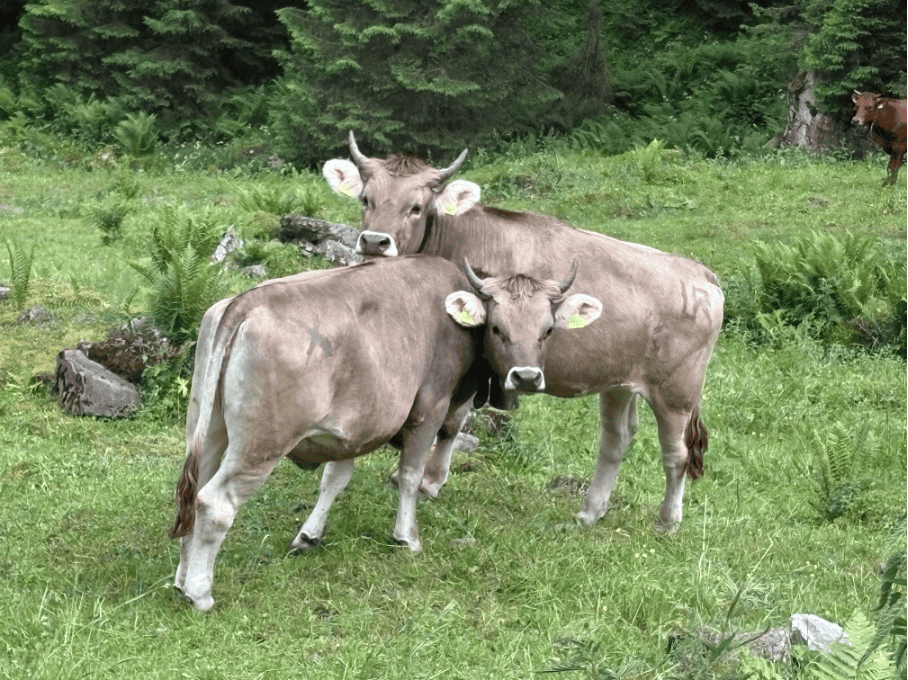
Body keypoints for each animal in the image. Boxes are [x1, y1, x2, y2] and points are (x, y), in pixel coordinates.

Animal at [169, 256, 600, 611]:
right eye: (497, 328)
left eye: (547, 330)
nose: (526, 377)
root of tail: (247, 301)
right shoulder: (430, 406)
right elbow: (410, 474)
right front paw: (406, 536)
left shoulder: (354, 427)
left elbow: (336, 478)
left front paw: (310, 534)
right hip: (260, 445)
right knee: (214, 503)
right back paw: (200, 593)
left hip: (210, 431)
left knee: (192, 496)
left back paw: (182, 579)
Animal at [322, 132, 724, 535]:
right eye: (366, 199)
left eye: (417, 207)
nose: (374, 242)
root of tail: (700, 272)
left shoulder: (474, 356)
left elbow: (450, 422)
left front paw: (429, 481)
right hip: (619, 383)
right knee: (617, 439)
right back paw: (590, 510)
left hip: (676, 391)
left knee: (677, 452)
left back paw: (667, 522)